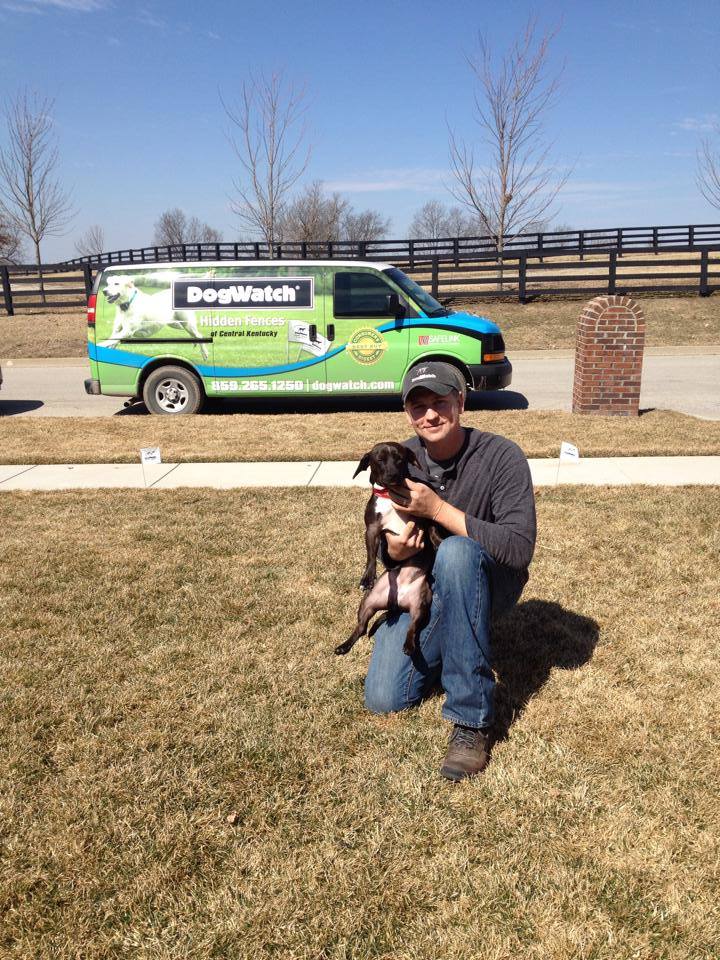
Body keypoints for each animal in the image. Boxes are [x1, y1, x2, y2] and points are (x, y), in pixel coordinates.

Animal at [334, 444, 442, 660]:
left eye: (400, 458)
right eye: (380, 460)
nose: (392, 474)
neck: (390, 494)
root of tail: (397, 604)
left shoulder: (423, 514)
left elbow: (433, 526)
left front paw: (438, 541)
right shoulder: (372, 530)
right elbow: (370, 555)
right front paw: (367, 577)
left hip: (421, 605)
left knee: (412, 628)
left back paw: (409, 645)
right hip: (368, 603)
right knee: (361, 628)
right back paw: (345, 645)